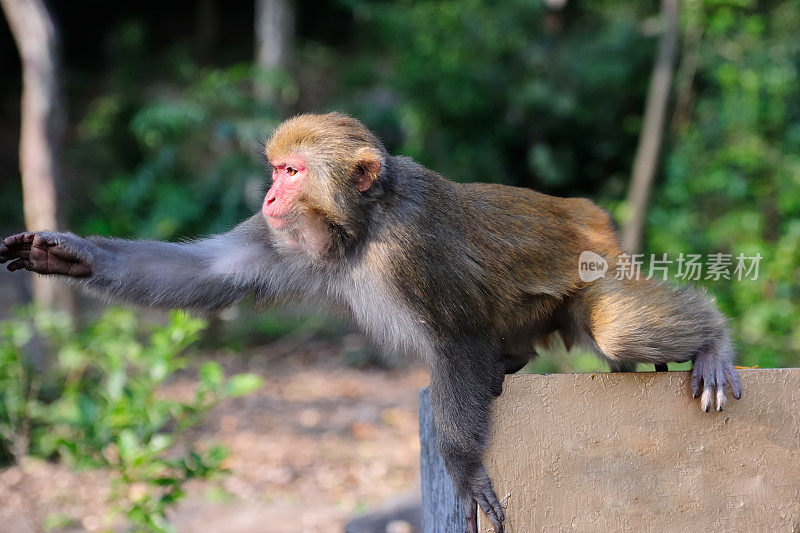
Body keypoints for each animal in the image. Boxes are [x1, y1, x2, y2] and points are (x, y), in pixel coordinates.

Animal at [0, 112, 740, 532]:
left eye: (292, 170)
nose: (269, 196)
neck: (364, 226)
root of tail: (590, 214)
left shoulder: (410, 250)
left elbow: (456, 338)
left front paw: (463, 469)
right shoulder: (290, 241)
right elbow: (211, 272)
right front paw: (66, 253)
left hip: (597, 265)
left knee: (614, 325)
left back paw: (712, 344)